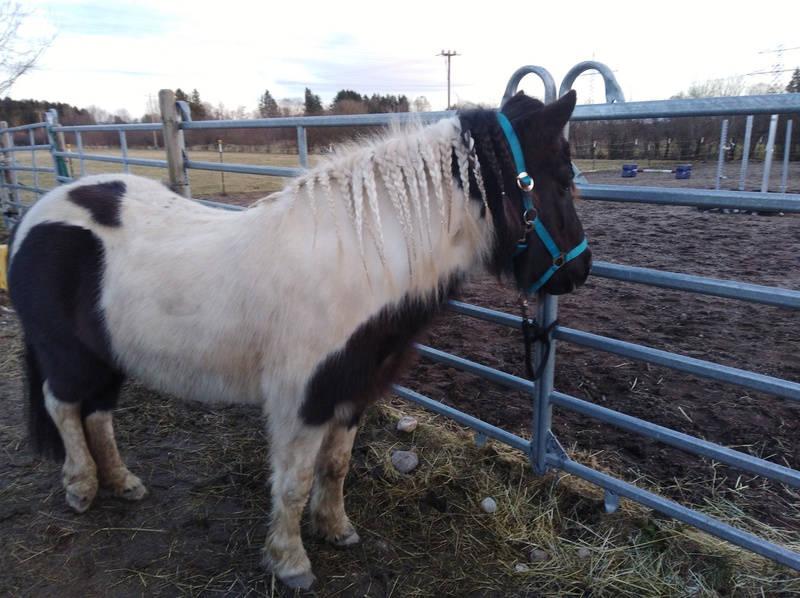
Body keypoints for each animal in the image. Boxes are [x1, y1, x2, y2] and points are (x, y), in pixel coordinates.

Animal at [7, 90, 590, 589]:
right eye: (563, 179)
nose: (579, 271)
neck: (358, 262)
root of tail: (37, 213)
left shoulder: (351, 392)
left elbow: (335, 468)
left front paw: (336, 530)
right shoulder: (303, 401)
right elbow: (293, 482)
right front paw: (290, 563)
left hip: (108, 357)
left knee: (98, 413)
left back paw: (122, 482)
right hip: (68, 356)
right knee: (64, 408)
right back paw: (81, 487)